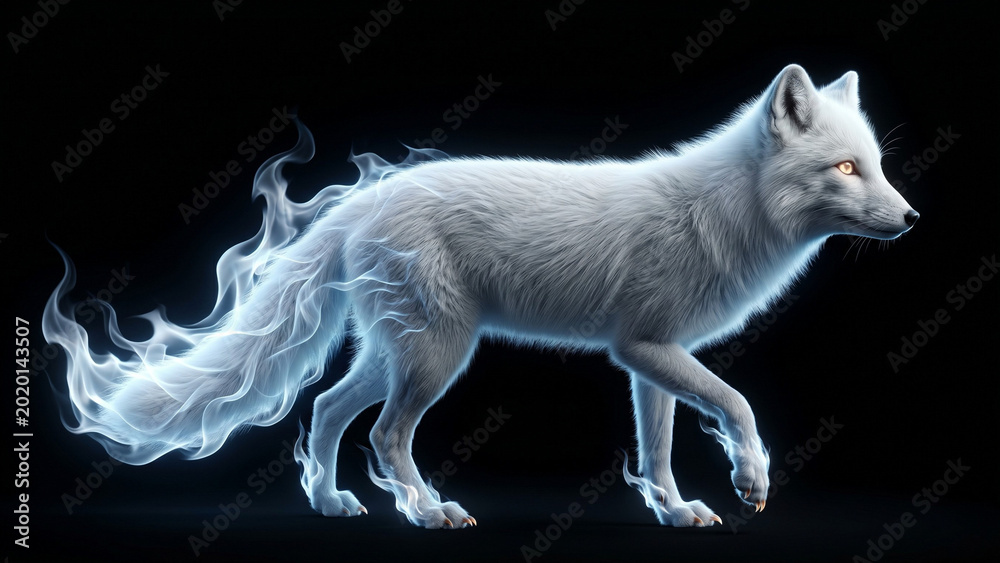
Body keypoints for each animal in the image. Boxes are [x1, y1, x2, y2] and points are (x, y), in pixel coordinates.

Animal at [43, 64, 917, 529]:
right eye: (845, 169)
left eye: (876, 163)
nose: (913, 219)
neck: (725, 213)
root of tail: (361, 202)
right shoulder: (643, 349)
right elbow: (738, 404)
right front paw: (752, 481)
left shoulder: (650, 359)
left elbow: (660, 450)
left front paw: (676, 512)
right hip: (437, 357)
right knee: (384, 435)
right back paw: (428, 511)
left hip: (400, 354)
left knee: (326, 409)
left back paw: (329, 501)